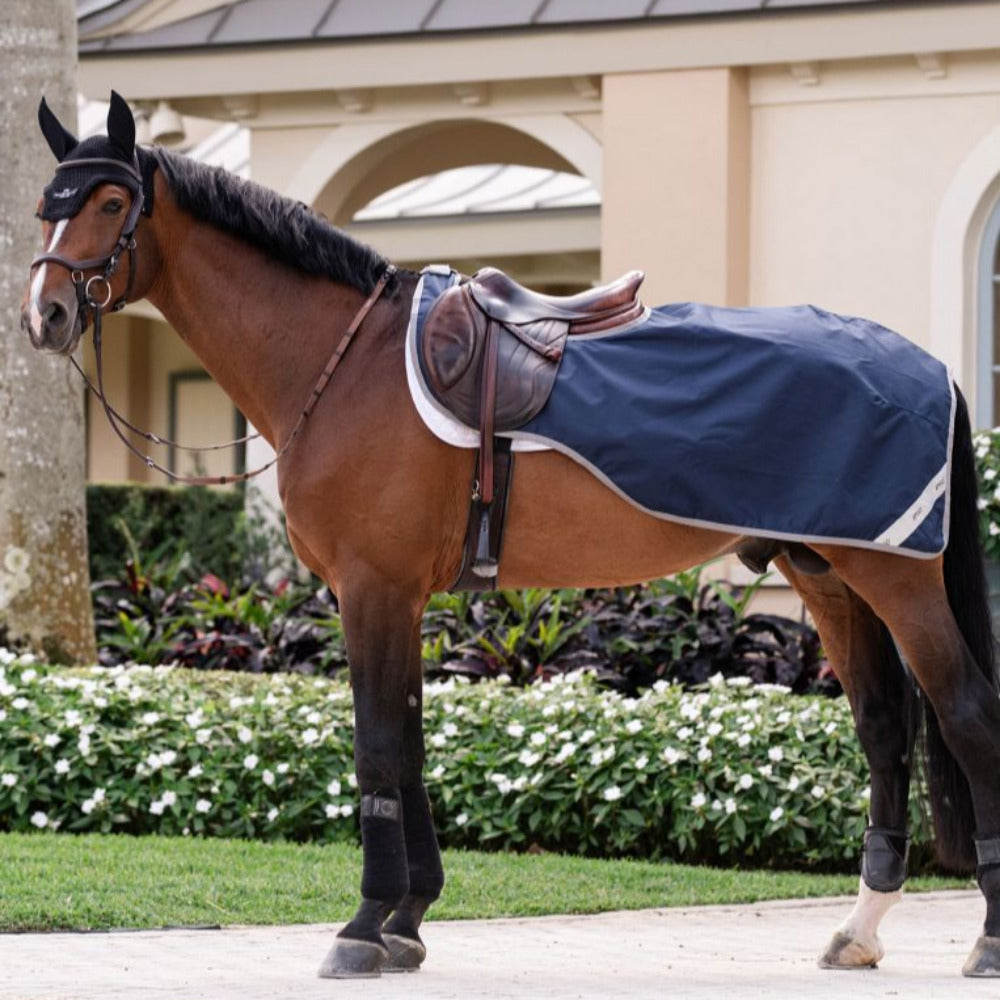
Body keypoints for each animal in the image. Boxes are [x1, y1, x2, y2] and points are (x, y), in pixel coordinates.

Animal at [20, 92, 1000, 981]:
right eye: (44, 204)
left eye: (108, 202)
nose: (46, 315)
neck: (346, 364)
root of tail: (928, 365)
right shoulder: (398, 596)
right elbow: (410, 743)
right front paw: (407, 921)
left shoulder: (371, 588)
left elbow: (378, 748)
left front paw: (363, 926)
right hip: (827, 575)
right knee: (883, 730)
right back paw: (859, 933)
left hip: (897, 580)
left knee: (966, 715)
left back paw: (985, 939)